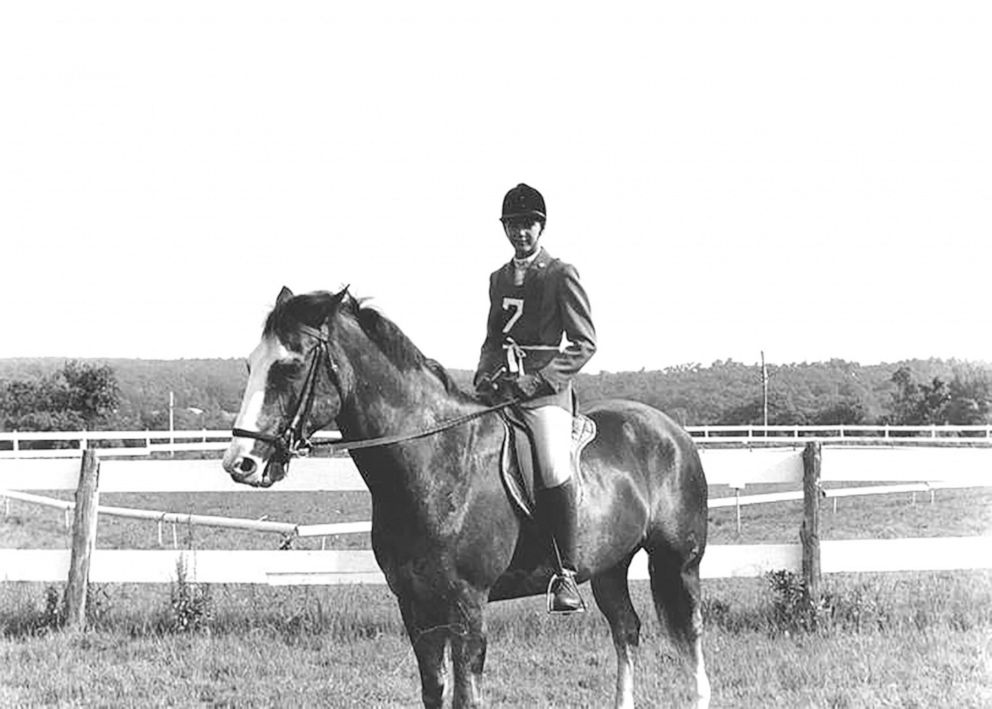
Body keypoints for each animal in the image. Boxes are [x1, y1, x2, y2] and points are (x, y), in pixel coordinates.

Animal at [223, 288, 712, 708]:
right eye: (250, 365)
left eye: (290, 366)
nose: (240, 463)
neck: (436, 461)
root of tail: (671, 431)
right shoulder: (416, 606)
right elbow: (434, 692)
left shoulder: (468, 606)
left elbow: (466, 696)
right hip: (609, 566)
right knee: (626, 629)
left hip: (678, 562)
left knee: (690, 634)